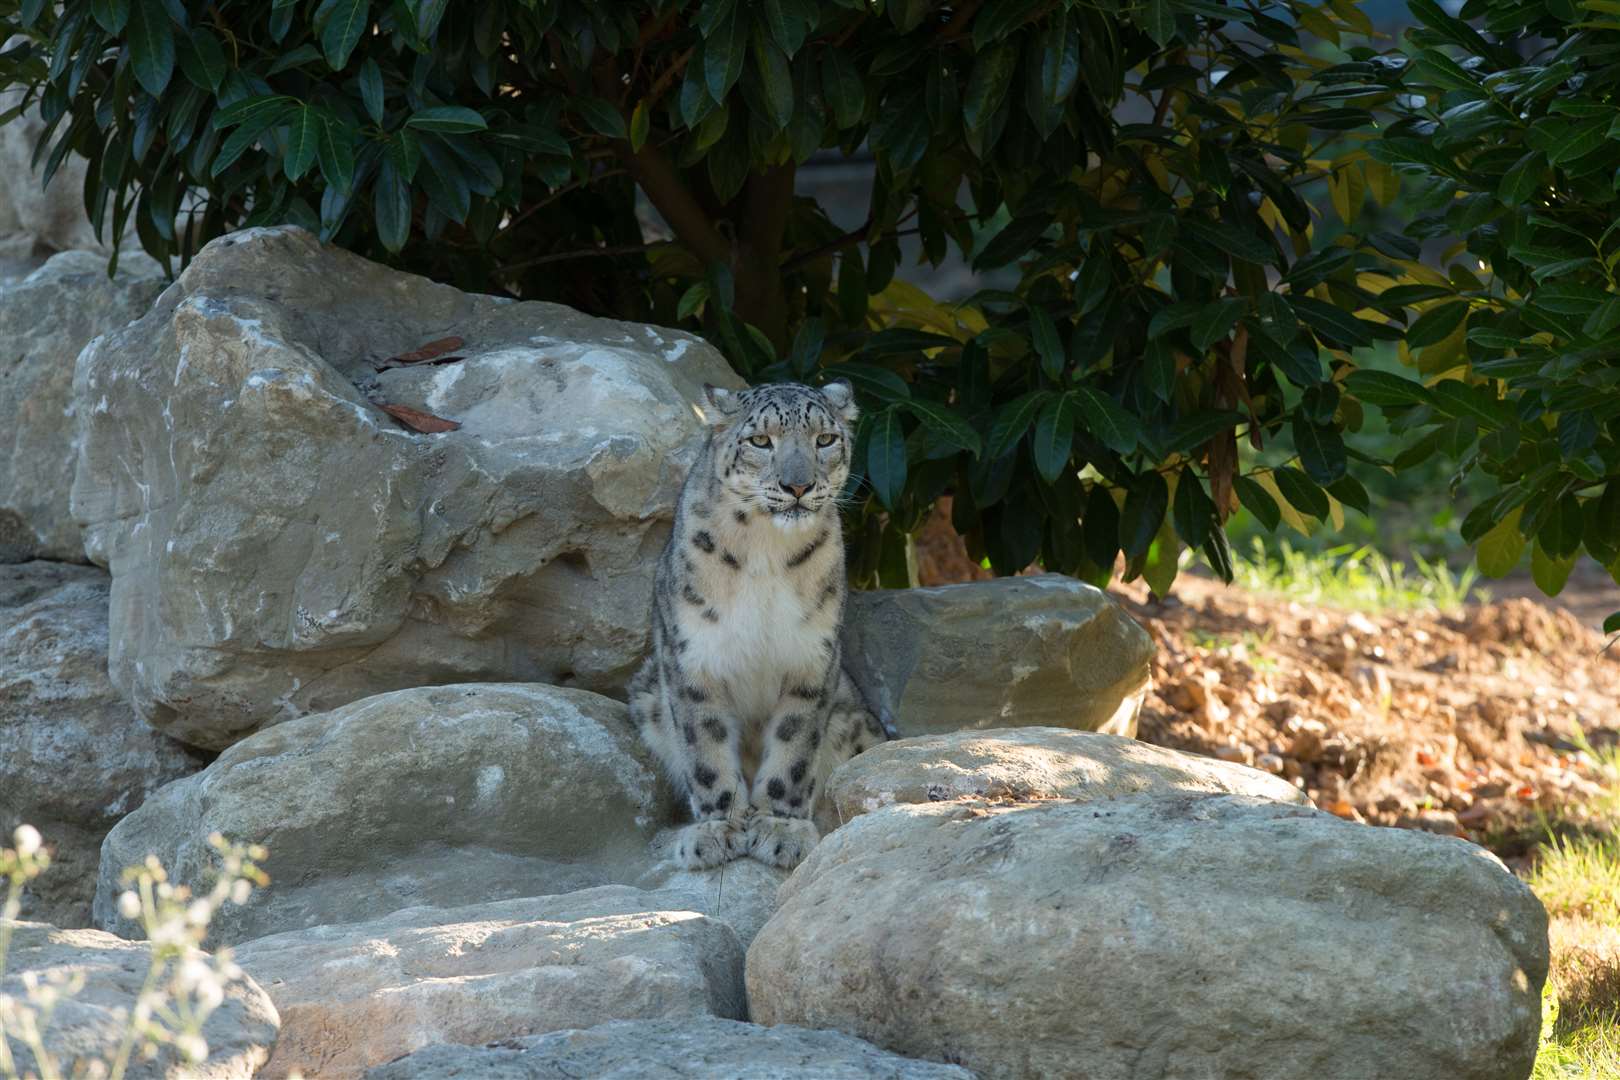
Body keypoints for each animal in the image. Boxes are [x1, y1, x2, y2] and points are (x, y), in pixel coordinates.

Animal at [628, 380, 887, 867]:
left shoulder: (811, 657)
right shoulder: (693, 658)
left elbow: (794, 748)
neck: (766, 551)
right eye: (761, 441)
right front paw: (717, 829)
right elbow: (705, 748)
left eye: (825, 439)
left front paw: (780, 828)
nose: (798, 485)